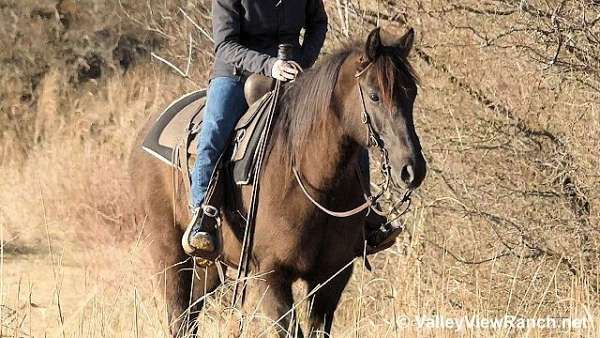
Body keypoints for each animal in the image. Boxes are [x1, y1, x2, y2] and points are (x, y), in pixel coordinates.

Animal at [129, 27, 426, 338]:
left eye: (412, 93)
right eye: (374, 95)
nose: (412, 169)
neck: (313, 179)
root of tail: (145, 132)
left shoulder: (332, 277)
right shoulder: (270, 276)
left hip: (208, 265)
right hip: (168, 252)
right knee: (178, 315)